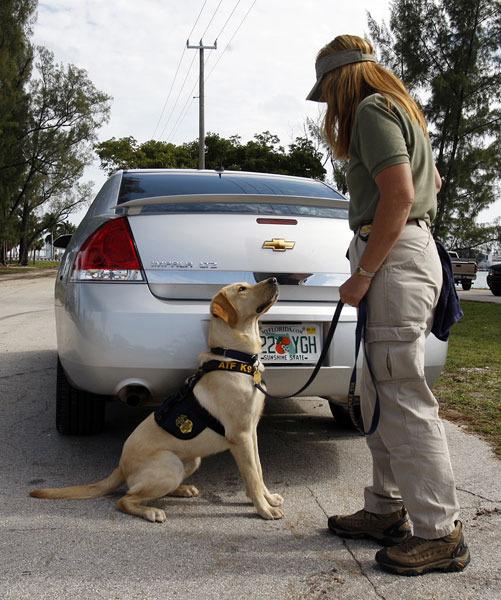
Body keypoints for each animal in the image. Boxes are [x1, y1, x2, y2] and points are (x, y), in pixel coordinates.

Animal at [30, 278, 286, 524]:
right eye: (242, 289)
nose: (274, 279)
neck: (235, 358)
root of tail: (121, 466)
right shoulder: (239, 436)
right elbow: (252, 476)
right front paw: (263, 509)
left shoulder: (251, 433)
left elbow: (259, 471)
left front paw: (268, 499)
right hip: (169, 464)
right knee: (125, 499)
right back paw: (152, 511)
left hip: (191, 461)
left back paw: (182, 490)